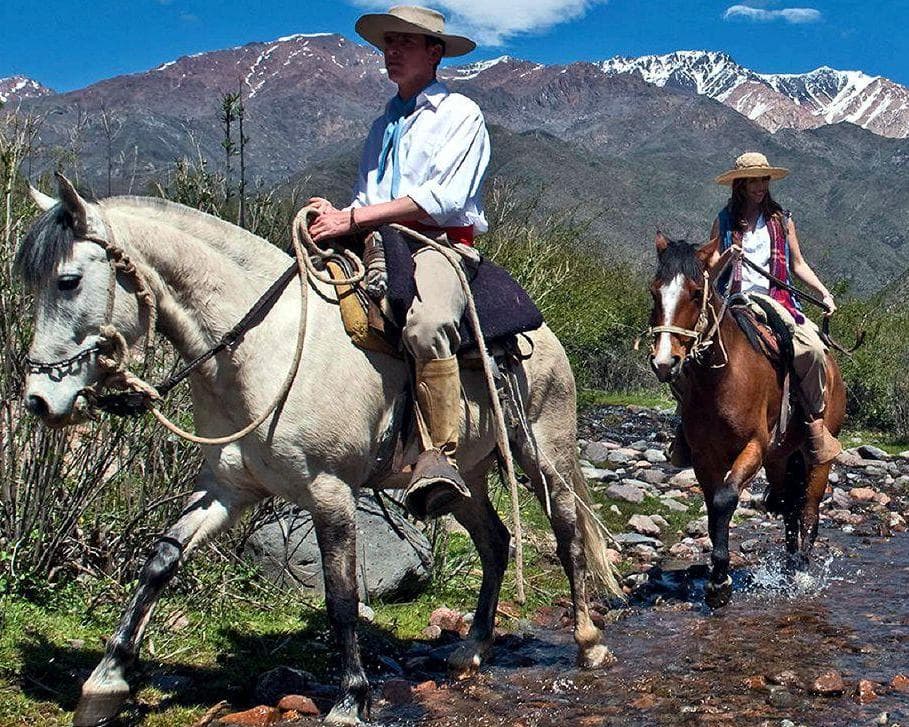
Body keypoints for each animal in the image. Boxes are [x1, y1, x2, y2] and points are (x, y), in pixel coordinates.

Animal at [18, 175, 621, 726]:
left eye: (68, 281)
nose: (40, 401)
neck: (263, 349)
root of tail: (545, 332)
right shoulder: (227, 489)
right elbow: (160, 562)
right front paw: (105, 684)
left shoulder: (330, 491)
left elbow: (342, 598)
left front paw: (350, 700)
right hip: (465, 474)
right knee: (495, 541)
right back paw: (472, 647)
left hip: (544, 451)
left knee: (568, 535)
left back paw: (589, 642)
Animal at [647, 232, 845, 607]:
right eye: (654, 291)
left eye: (695, 291)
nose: (665, 362)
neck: (722, 378)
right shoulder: (704, 456)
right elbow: (713, 508)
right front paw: (718, 578)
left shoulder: (753, 447)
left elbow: (725, 499)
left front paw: (719, 583)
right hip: (781, 458)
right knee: (788, 508)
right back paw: (788, 568)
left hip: (816, 457)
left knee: (808, 510)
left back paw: (801, 572)